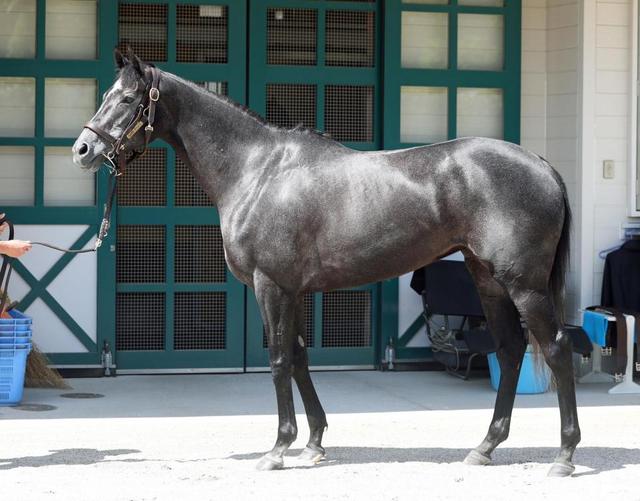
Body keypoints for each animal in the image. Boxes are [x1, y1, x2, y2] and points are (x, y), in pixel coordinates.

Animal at [72, 49, 580, 477]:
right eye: (106, 95)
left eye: (128, 98)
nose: (82, 150)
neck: (258, 171)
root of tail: (541, 165)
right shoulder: (293, 291)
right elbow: (299, 357)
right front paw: (314, 442)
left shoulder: (271, 287)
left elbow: (279, 359)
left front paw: (278, 448)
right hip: (487, 279)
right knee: (510, 351)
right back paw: (485, 447)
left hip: (524, 285)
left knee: (556, 348)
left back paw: (564, 455)